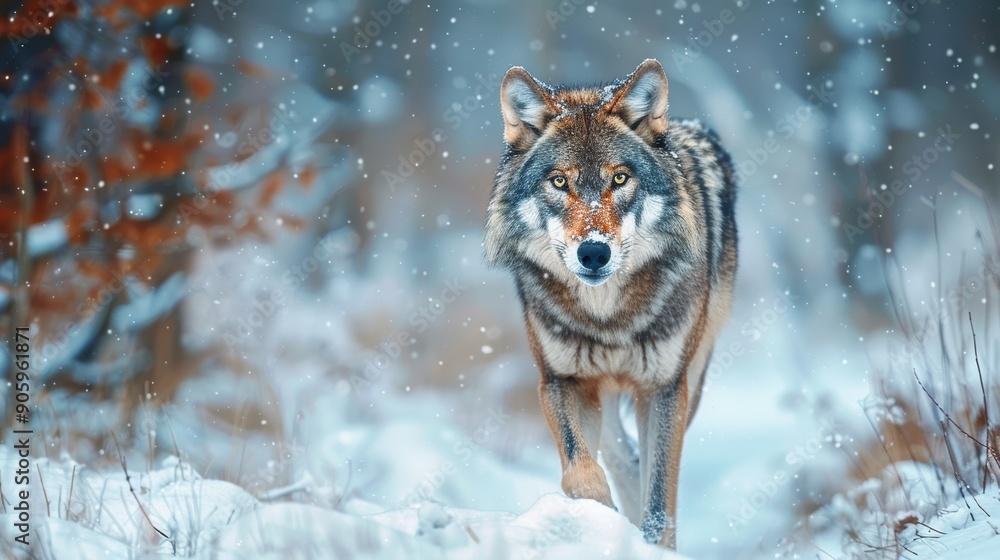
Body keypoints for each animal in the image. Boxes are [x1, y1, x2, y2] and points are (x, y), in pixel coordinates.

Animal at [484, 59, 737, 548]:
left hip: (692, 377)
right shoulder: (560, 380)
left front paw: (651, 546)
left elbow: (660, 502)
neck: (609, 316)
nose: (594, 253)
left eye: (619, 178)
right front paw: (598, 519)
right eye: (559, 181)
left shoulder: (664, 389)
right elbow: (579, 472)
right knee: (619, 455)